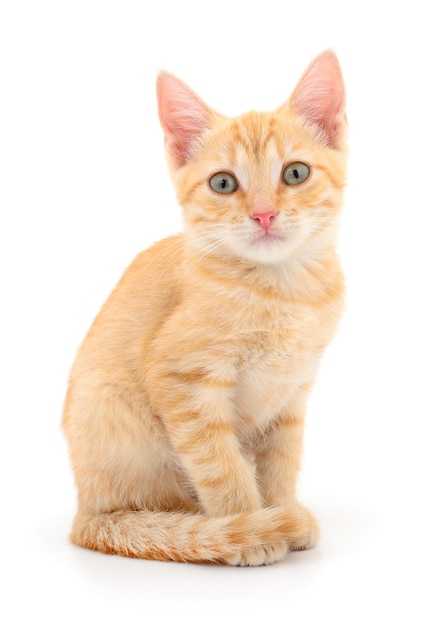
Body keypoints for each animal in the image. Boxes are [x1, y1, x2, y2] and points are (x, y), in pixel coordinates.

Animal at [63, 51, 348, 564]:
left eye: (295, 173)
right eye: (223, 183)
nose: (263, 214)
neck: (283, 289)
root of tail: (84, 513)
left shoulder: (293, 391)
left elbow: (282, 460)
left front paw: (281, 509)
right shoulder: (183, 380)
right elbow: (219, 464)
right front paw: (250, 525)